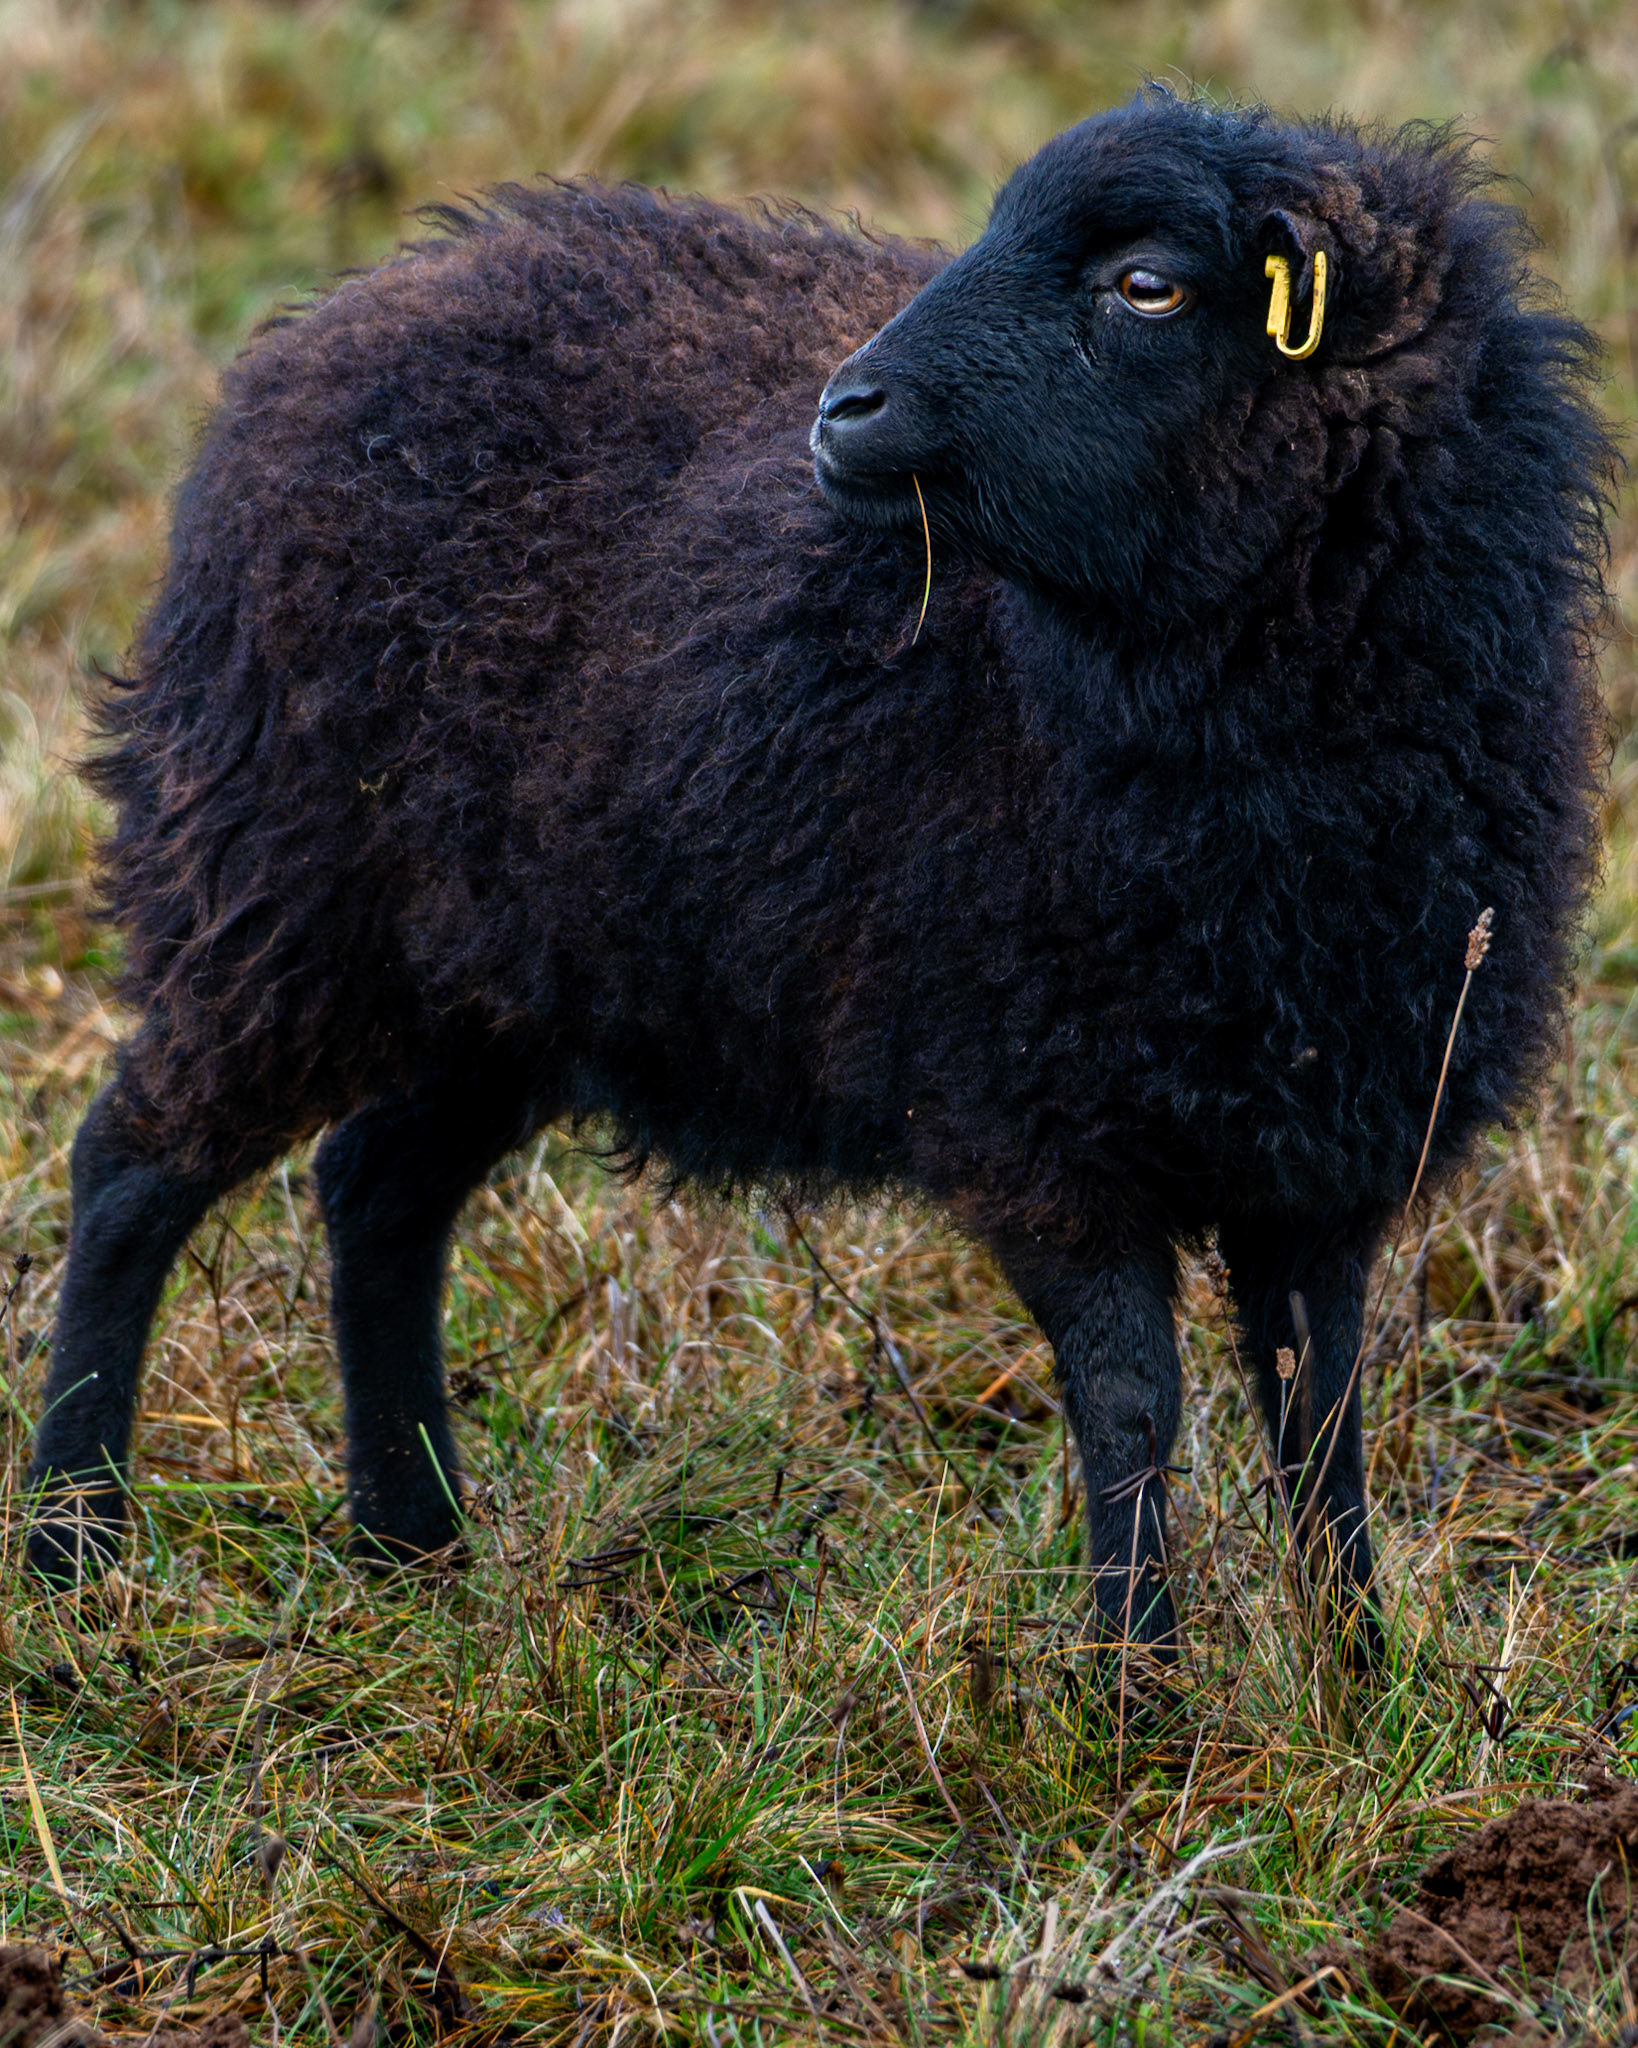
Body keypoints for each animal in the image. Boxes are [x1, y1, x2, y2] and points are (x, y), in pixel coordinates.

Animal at [28, 90, 1611, 1672]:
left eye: (1146, 284)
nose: (843, 412)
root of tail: (334, 323)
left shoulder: (1332, 1129)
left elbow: (1321, 1410)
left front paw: (1353, 1664)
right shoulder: (1044, 1119)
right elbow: (1131, 1403)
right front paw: (1135, 1685)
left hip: (509, 968)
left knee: (376, 1190)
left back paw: (413, 1542)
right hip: (278, 887)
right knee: (132, 1166)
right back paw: (73, 1547)